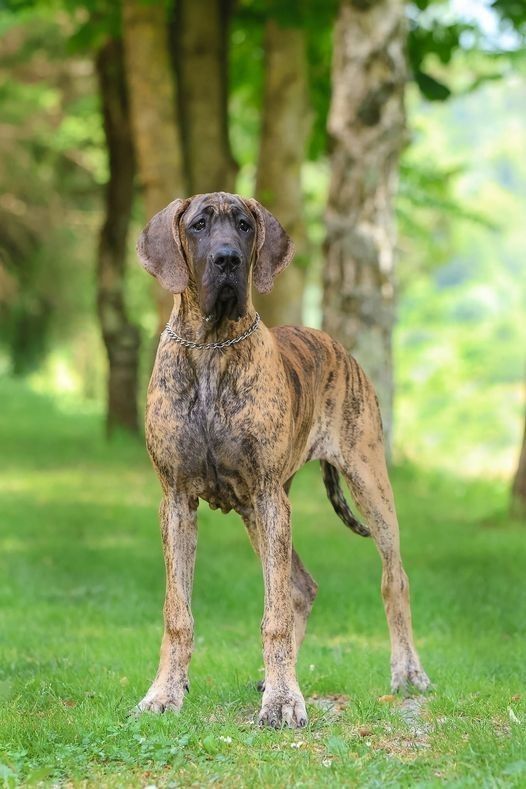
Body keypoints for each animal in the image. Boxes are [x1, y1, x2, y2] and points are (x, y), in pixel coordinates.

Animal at [135, 191, 430, 728]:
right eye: (198, 225)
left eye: (245, 225)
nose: (227, 259)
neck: (211, 345)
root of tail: (334, 342)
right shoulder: (177, 501)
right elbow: (177, 613)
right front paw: (166, 692)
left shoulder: (269, 495)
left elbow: (273, 615)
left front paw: (283, 700)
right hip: (258, 511)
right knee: (300, 587)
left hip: (366, 482)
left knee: (392, 578)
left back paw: (407, 672)